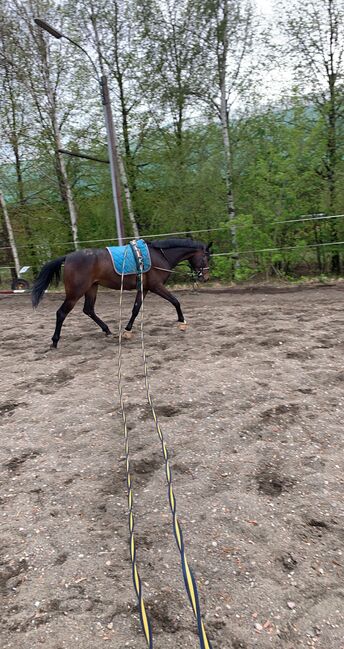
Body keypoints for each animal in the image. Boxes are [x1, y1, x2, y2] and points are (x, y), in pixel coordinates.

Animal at [32, 238, 211, 346]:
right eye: (206, 258)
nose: (206, 277)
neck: (159, 256)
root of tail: (68, 257)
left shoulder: (144, 288)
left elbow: (136, 308)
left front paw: (127, 331)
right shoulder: (156, 286)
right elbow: (175, 301)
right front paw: (182, 323)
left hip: (91, 288)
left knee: (88, 310)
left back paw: (107, 330)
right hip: (75, 292)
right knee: (61, 313)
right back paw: (55, 341)